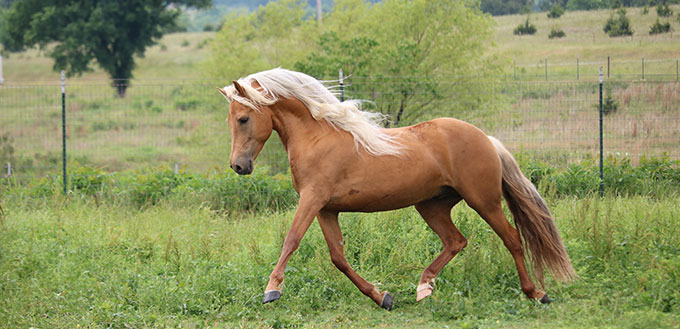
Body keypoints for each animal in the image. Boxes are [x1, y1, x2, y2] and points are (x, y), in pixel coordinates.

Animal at [216, 68, 572, 308]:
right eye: (230, 120)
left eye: (244, 118)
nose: (238, 166)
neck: (318, 136)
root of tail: (486, 139)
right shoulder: (327, 209)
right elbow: (338, 258)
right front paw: (382, 297)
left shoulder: (312, 200)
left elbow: (291, 240)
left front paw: (271, 290)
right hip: (432, 205)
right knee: (456, 241)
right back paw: (423, 287)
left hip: (484, 201)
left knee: (511, 238)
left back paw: (536, 293)